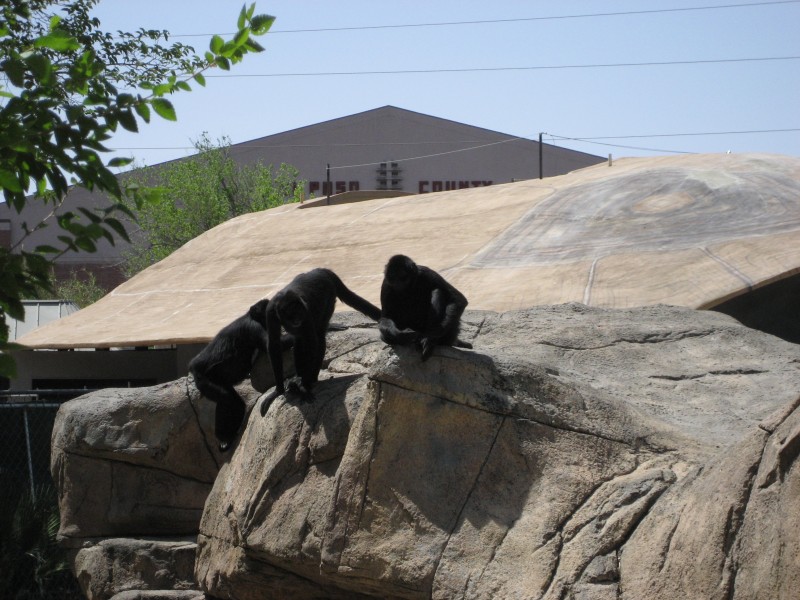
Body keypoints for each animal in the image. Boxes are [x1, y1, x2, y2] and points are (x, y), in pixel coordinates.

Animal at [189, 300, 292, 450]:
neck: (249, 316)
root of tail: (193, 366)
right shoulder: (253, 327)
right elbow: (272, 346)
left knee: (234, 401)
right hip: (204, 380)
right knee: (229, 400)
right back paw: (225, 438)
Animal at [258, 268, 380, 412]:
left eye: (298, 312)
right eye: (292, 314)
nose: (297, 319)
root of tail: (322, 270)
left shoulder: (306, 311)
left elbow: (312, 342)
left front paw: (304, 387)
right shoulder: (271, 311)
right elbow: (274, 344)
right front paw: (279, 390)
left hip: (329, 296)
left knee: (318, 337)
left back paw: (310, 380)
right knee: (299, 339)